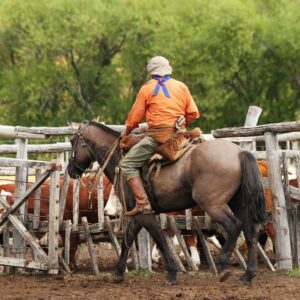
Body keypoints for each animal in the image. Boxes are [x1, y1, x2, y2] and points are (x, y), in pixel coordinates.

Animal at [67, 120, 264, 284]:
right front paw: (118, 274)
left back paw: (223, 265)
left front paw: (171, 272)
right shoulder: (136, 214)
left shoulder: (144, 213)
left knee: (233, 226)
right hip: (238, 202)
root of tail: (239, 152)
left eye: (71, 141)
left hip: (212, 204)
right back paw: (248, 274)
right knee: (250, 229)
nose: (70, 170)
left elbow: (159, 237)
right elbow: (128, 239)